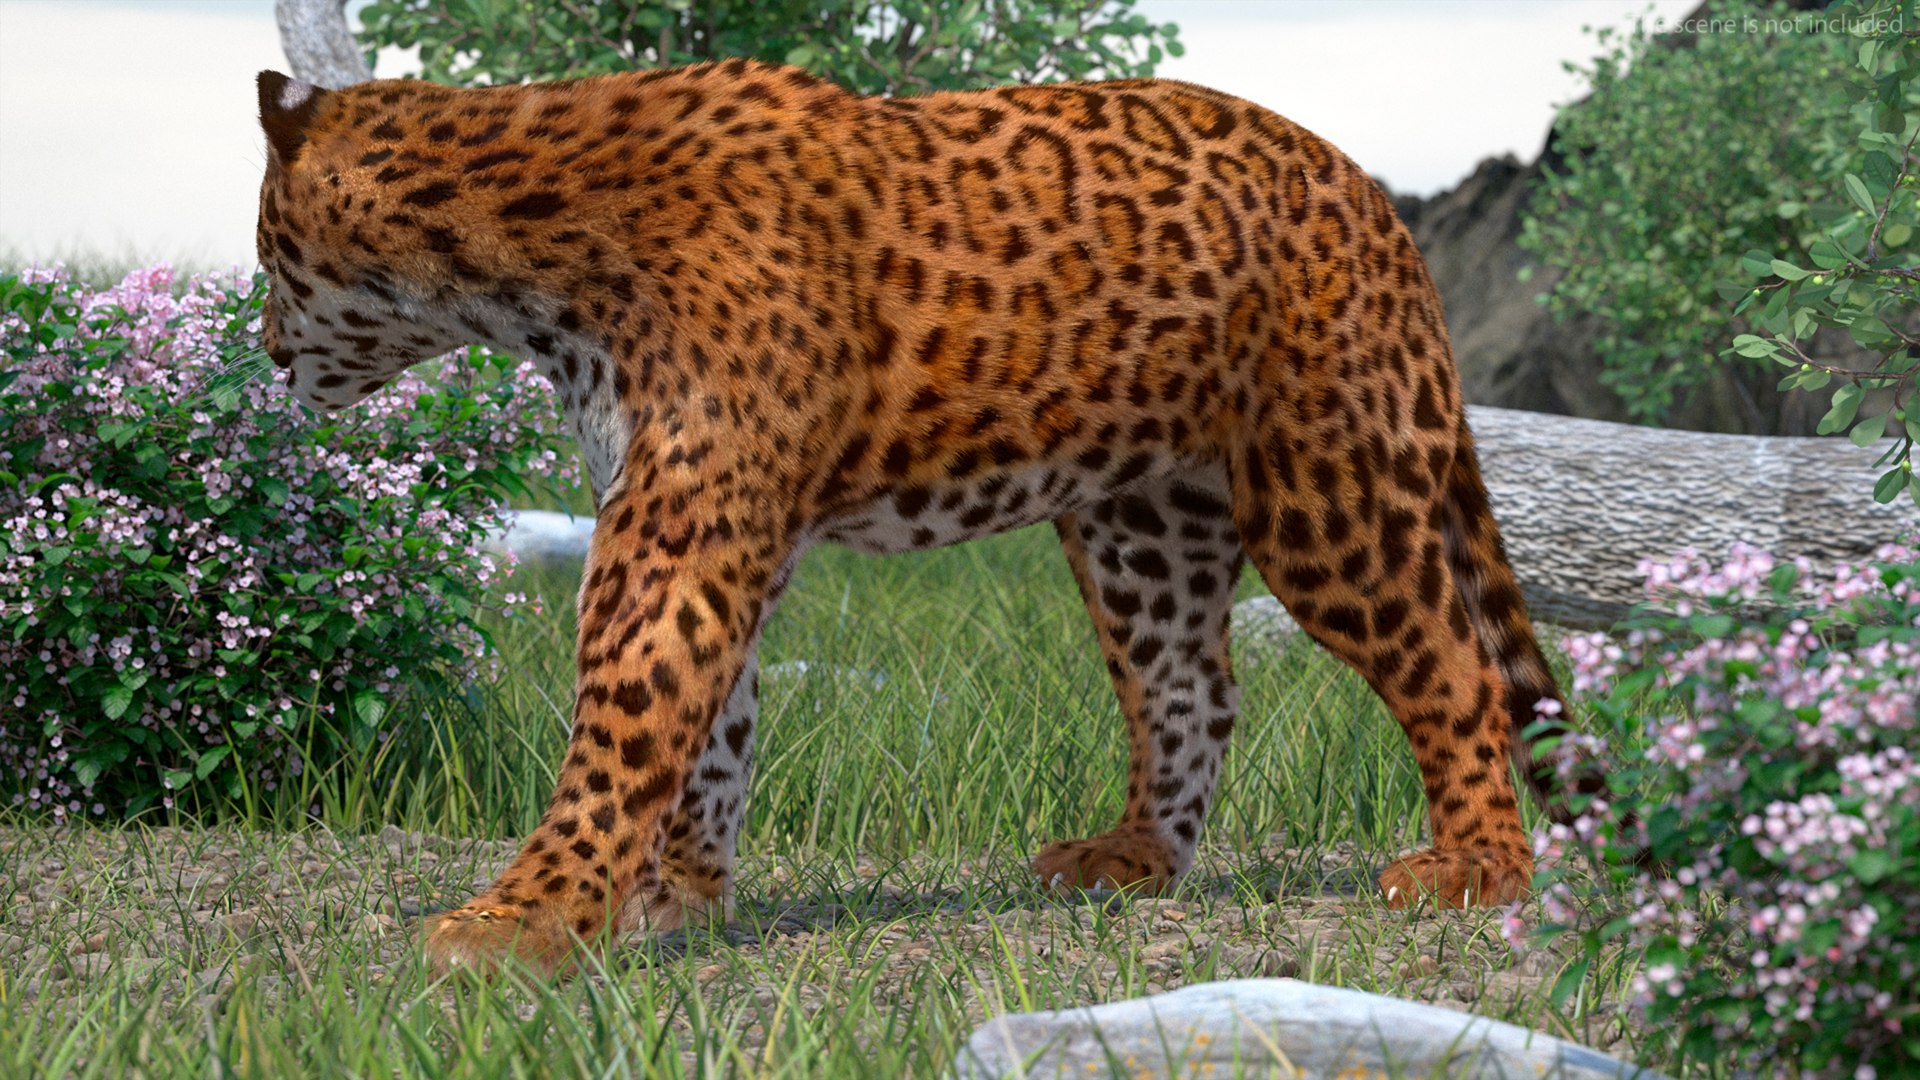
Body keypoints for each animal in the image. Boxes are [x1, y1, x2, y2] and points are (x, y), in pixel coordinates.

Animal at [252, 59, 1599, 977]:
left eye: (267, 251)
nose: (265, 352)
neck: (520, 261)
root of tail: (1376, 199)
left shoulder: (679, 527)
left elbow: (627, 715)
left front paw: (524, 920)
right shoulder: (702, 517)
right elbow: (716, 728)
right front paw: (678, 895)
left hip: (1330, 487)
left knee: (1455, 662)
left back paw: (1475, 867)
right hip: (1144, 520)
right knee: (1193, 688)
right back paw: (1130, 862)